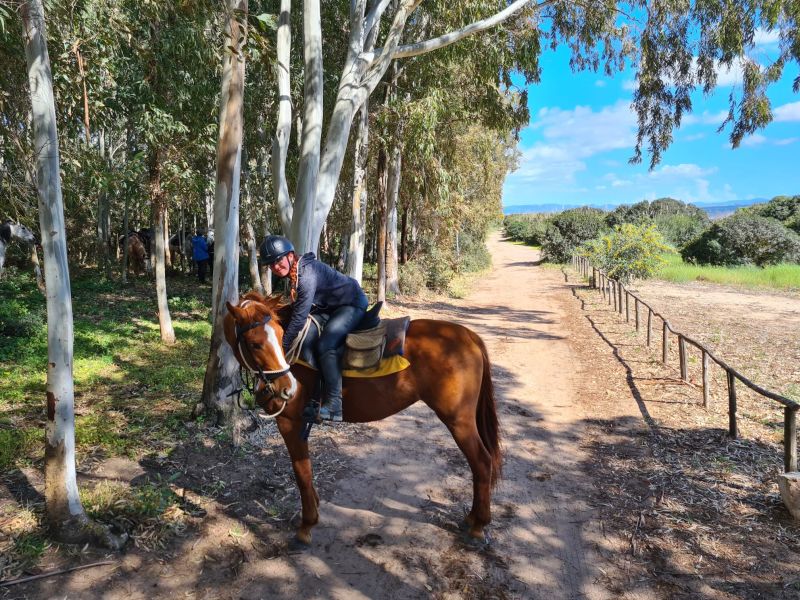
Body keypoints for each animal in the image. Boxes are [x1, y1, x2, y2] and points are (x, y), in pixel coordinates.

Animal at [223, 292, 500, 548]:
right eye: (255, 344)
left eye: (281, 336)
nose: (287, 389)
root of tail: (468, 335)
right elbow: (307, 473)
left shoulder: (291, 422)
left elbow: (302, 472)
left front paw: (307, 525)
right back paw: (472, 518)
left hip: (459, 420)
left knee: (482, 462)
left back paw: (479, 525)